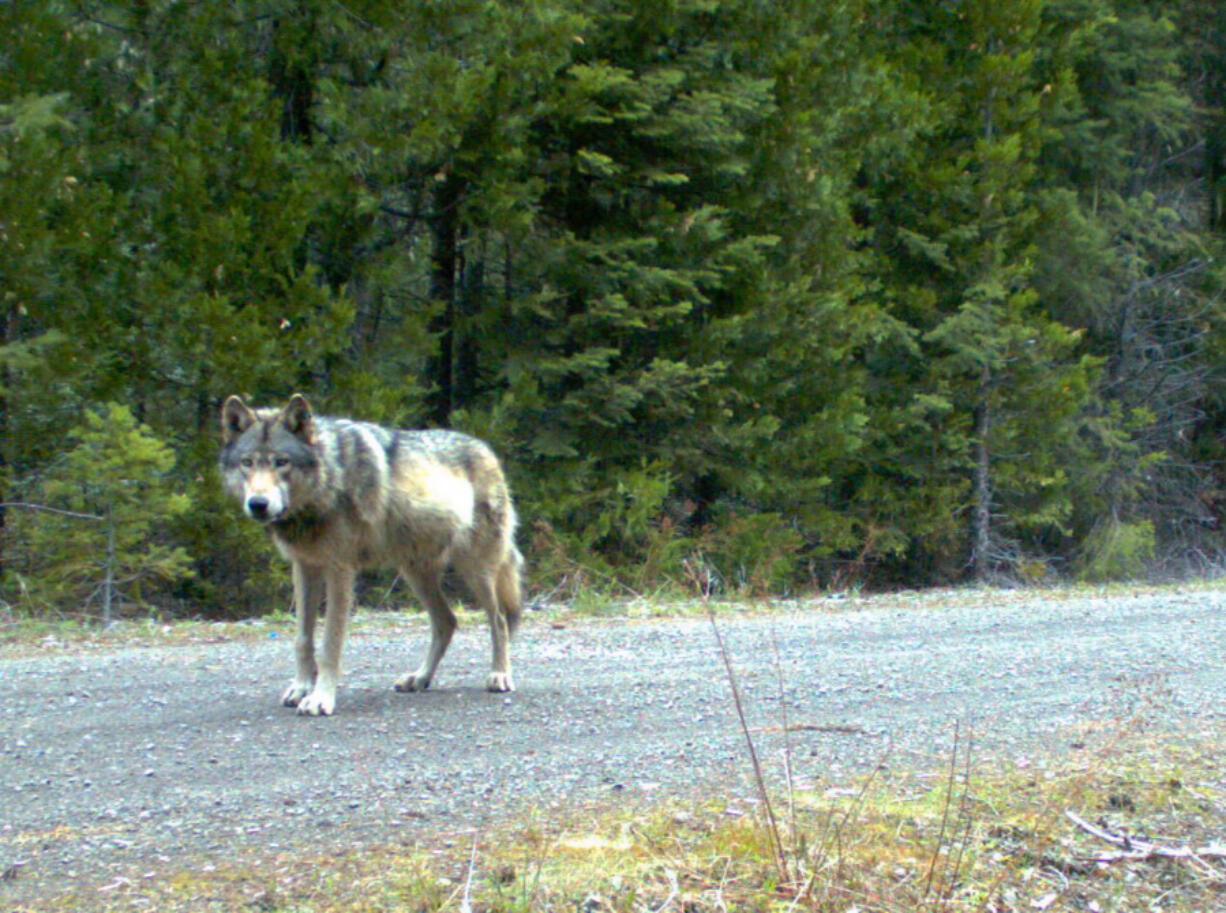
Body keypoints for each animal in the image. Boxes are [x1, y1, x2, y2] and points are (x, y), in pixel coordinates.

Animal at [218, 392, 519, 710]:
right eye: (247, 463)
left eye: (281, 462)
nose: (258, 504)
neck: (329, 479)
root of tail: (487, 449)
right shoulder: (304, 567)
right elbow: (302, 639)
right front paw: (301, 688)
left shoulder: (339, 570)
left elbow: (330, 643)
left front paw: (320, 699)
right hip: (415, 573)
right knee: (447, 621)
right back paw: (419, 678)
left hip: (476, 570)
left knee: (499, 620)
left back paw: (500, 675)